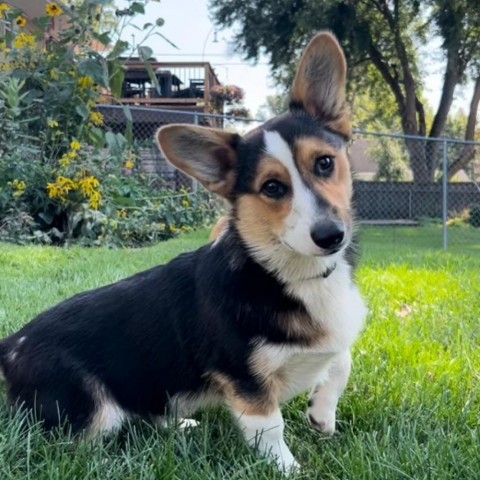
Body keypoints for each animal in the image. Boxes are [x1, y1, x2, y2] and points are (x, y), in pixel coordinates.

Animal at [0, 32, 366, 472]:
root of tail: (10, 346)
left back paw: (179, 425)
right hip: (91, 411)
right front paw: (291, 470)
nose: (331, 236)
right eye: (273, 188)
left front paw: (322, 414)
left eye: (325, 163)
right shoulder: (245, 380)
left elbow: (342, 361)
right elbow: (271, 430)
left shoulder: (333, 341)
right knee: (78, 442)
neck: (284, 272)